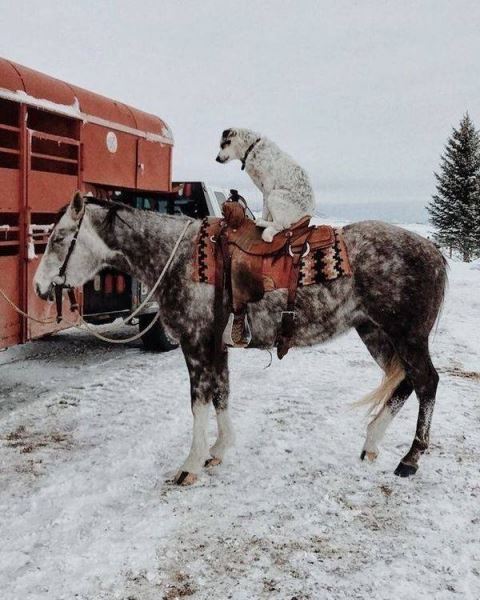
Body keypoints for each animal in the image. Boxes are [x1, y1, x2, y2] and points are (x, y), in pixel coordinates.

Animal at [33, 195, 446, 486]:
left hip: (407, 337)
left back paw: (410, 459)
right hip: (375, 333)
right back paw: (372, 444)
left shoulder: (196, 344)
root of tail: (434, 251)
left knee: (427, 382)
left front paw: (190, 466)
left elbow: (199, 402)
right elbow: (221, 394)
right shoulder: (217, 346)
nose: (39, 287)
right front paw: (218, 450)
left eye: (59, 238)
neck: (179, 259)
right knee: (405, 383)